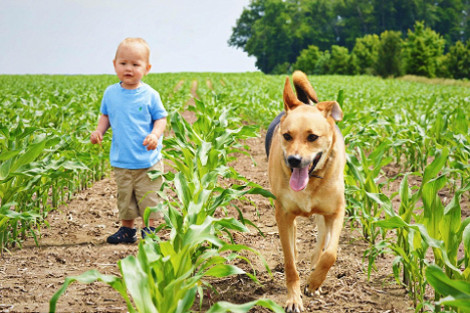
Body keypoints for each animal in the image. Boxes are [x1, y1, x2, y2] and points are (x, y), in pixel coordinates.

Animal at [266, 71, 346, 312]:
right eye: (287, 136)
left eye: (312, 137)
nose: (294, 160)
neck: (310, 182)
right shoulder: (283, 213)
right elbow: (290, 262)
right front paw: (294, 298)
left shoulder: (337, 211)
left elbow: (330, 253)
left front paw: (314, 283)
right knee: (293, 241)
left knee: (322, 238)